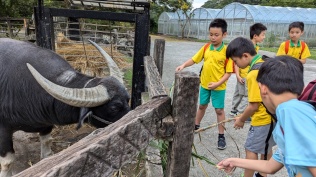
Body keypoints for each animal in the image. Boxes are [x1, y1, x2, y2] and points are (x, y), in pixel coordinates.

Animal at [0, 38, 130, 176]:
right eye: (114, 108)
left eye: (128, 99)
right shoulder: (3, 131)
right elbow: (7, 162)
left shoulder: (46, 124)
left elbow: (47, 147)